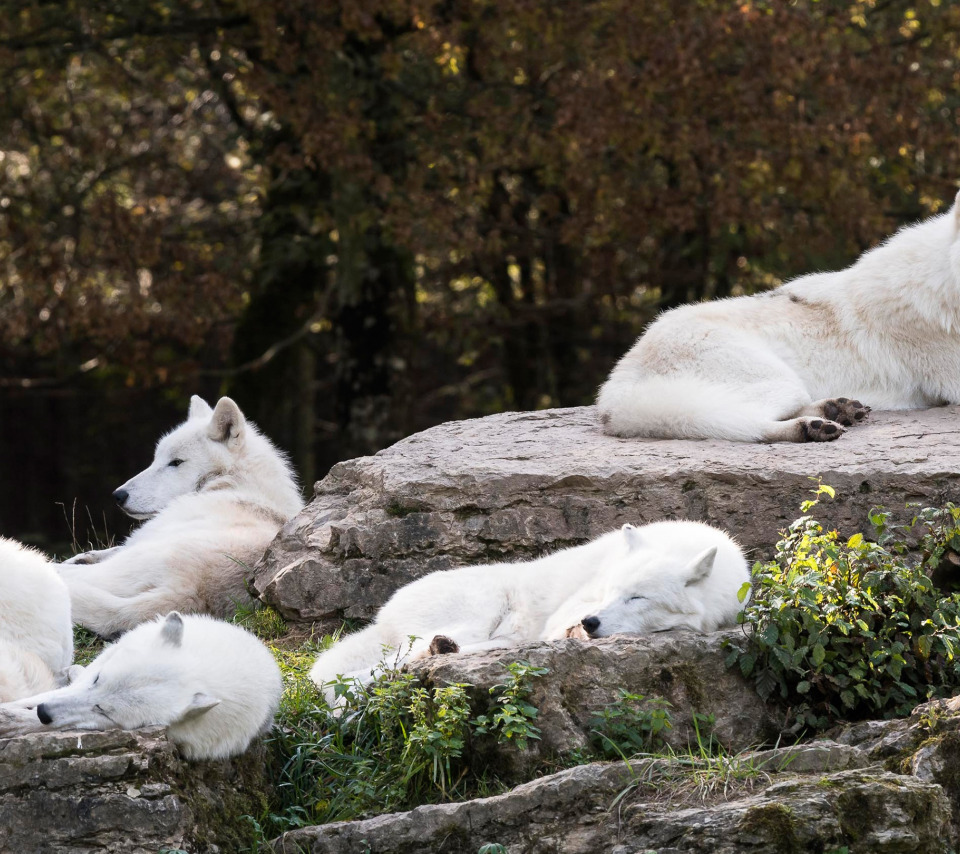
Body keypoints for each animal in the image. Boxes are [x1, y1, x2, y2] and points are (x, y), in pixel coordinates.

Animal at [57, 398, 304, 640]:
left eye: (176, 462)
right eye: (156, 459)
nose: (118, 495)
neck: (233, 483)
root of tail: (190, 591)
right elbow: (103, 550)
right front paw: (82, 557)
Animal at [312, 520, 748, 708]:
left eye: (637, 597)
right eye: (612, 591)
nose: (591, 622)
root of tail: (384, 612)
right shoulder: (573, 606)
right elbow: (562, 625)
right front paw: (575, 633)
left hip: (500, 636)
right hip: (481, 609)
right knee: (406, 659)